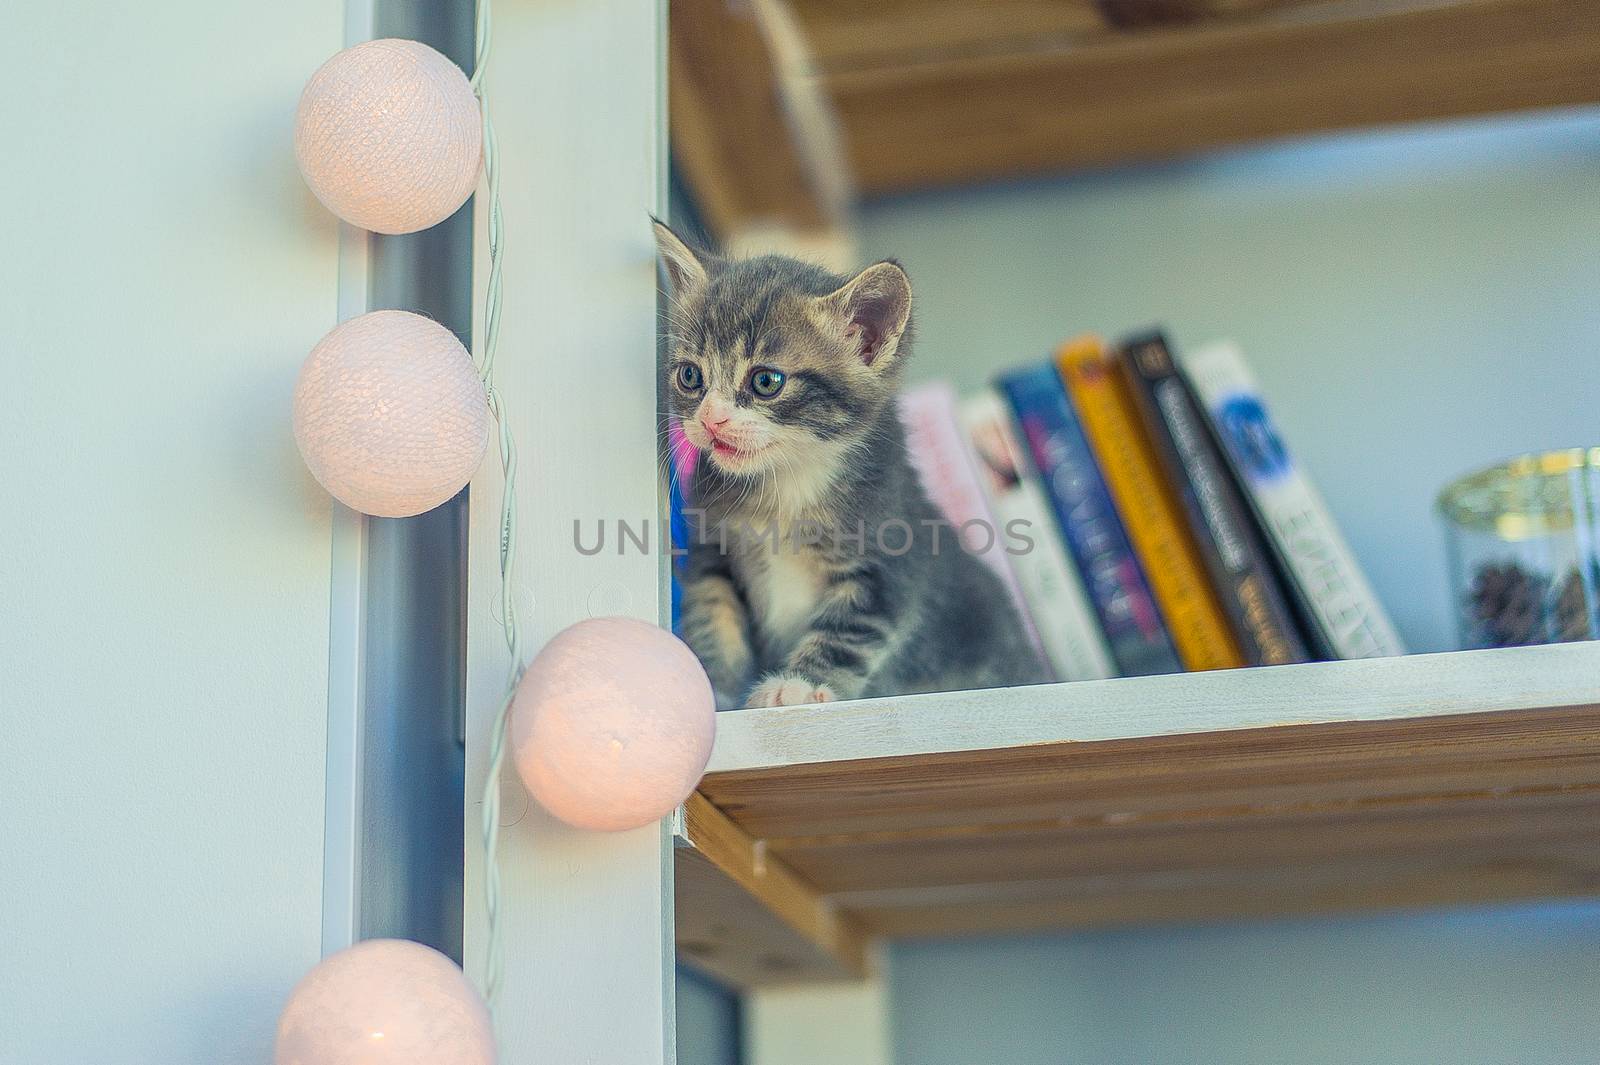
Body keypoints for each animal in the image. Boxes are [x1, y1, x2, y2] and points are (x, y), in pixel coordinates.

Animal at [652, 222, 1049, 703]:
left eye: (766, 381)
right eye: (690, 376)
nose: (711, 419)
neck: (785, 486)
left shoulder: (890, 563)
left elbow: (846, 635)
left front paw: (798, 685)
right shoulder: (711, 552)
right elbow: (713, 615)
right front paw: (717, 689)